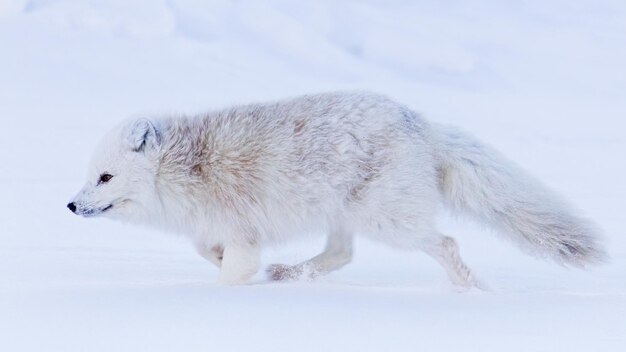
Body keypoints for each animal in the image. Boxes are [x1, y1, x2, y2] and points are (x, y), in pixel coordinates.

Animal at [68, 91, 604, 286]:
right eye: (88, 175)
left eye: (105, 178)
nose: (71, 205)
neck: (186, 169)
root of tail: (420, 122)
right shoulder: (220, 228)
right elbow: (206, 251)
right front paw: (232, 269)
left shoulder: (241, 228)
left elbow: (231, 269)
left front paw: (228, 292)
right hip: (345, 215)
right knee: (343, 254)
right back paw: (290, 274)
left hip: (387, 220)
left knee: (447, 242)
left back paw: (468, 288)